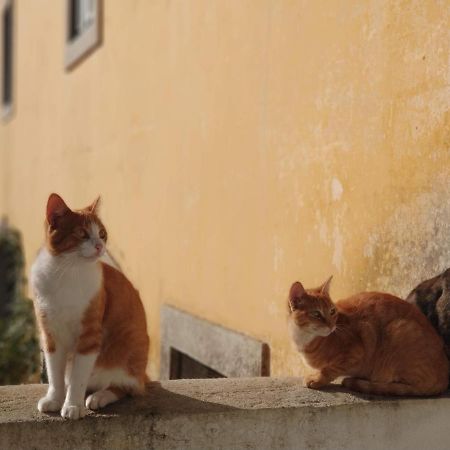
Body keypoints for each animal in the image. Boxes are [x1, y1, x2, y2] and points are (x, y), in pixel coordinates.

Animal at [30, 193, 149, 418]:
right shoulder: (51, 335)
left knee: (127, 387)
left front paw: (72, 405)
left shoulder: (89, 337)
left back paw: (98, 397)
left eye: (102, 234)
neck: (67, 272)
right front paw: (54, 399)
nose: (99, 246)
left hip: (127, 345)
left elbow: (78, 377)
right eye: (82, 234)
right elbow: (55, 374)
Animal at [286, 276, 448, 396]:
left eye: (332, 311)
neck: (303, 339)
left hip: (400, 331)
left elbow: (329, 369)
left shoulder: (356, 351)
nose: (332, 326)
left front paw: (317, 379)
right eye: (316, 314)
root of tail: (445, 377)